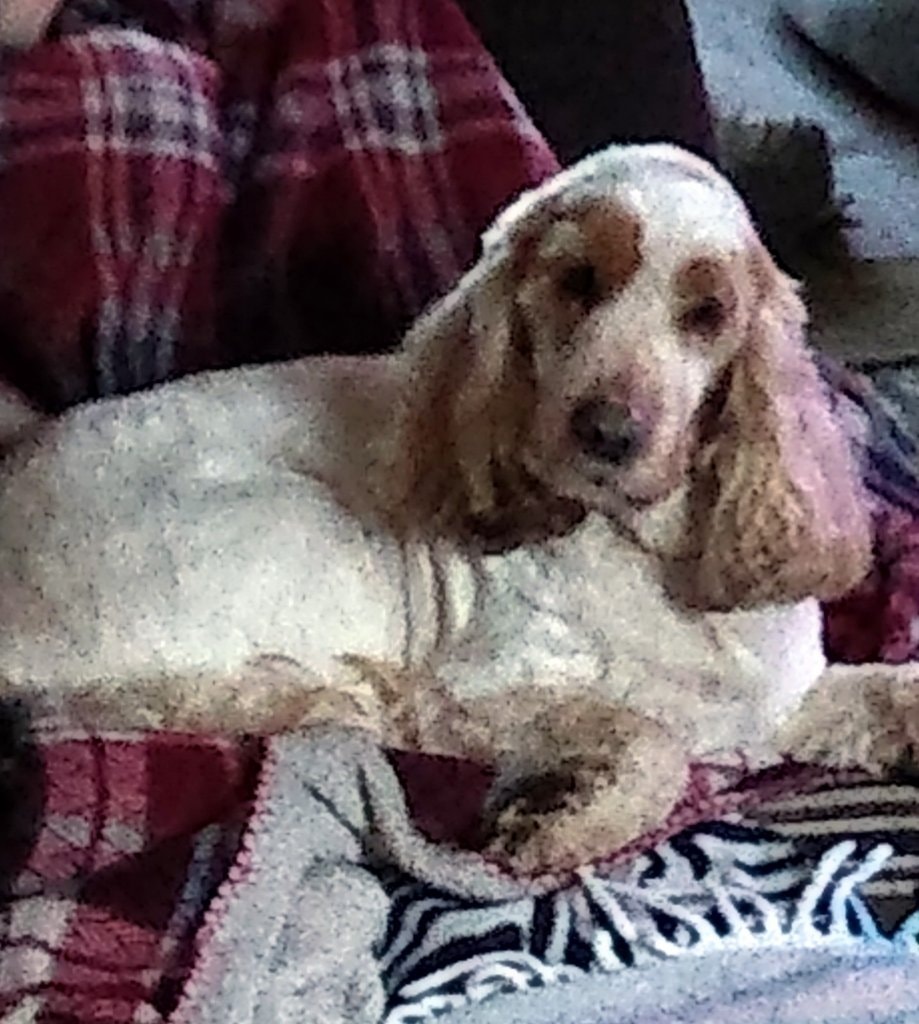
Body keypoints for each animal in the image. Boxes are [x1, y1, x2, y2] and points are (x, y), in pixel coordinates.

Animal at [0, 143, 914, 873]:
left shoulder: (782, 700)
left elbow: (884, 692)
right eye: (576, 282)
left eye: (707, 315)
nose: (607, 432)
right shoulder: (473, 693)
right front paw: (562, 825)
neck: (648, 555)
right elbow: (650, 739)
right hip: (300, 528)